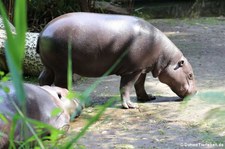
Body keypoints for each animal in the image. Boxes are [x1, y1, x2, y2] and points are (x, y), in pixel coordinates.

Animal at [37, 12, 197, 109]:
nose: (195, 92)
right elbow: (126, 86)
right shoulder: (132, 70)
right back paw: (74, 102)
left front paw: (148, 98)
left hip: (49, 66)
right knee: (60, 85)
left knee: (43, 79)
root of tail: (43, 31)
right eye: (190, 75)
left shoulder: (142, 69)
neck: (167, 59)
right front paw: (130, 106)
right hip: (62, 69)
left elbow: (140, 85)